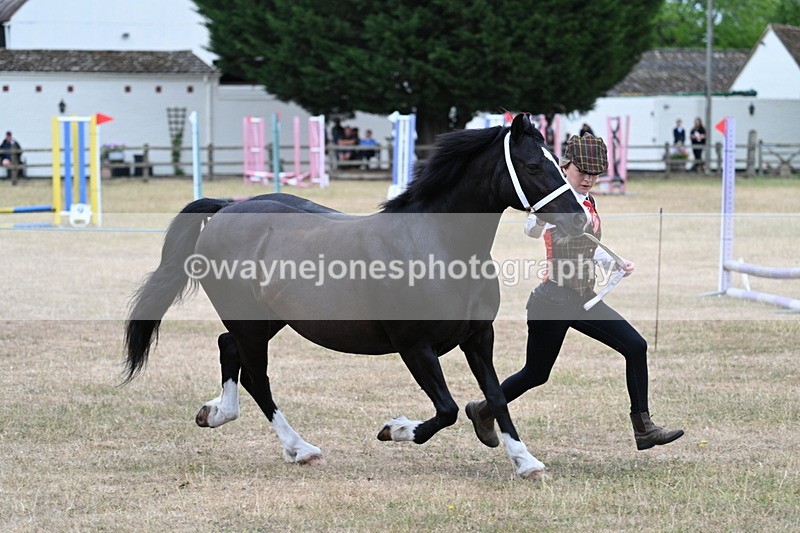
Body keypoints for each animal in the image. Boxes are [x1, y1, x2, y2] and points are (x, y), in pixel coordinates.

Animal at [123, 113, 587, 479]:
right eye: (532, 165)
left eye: (557, 163)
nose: (580, 219)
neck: (438, 244)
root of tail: (225, 208)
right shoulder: (414, 346)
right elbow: (448, 409)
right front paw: (395, 429)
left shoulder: (478, 338)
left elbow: (495, 396)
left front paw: (526, 462)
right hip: (251, 325)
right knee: (257, 378)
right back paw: (300, 449)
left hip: (265, 321)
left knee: (228, 349)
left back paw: (215, 413)